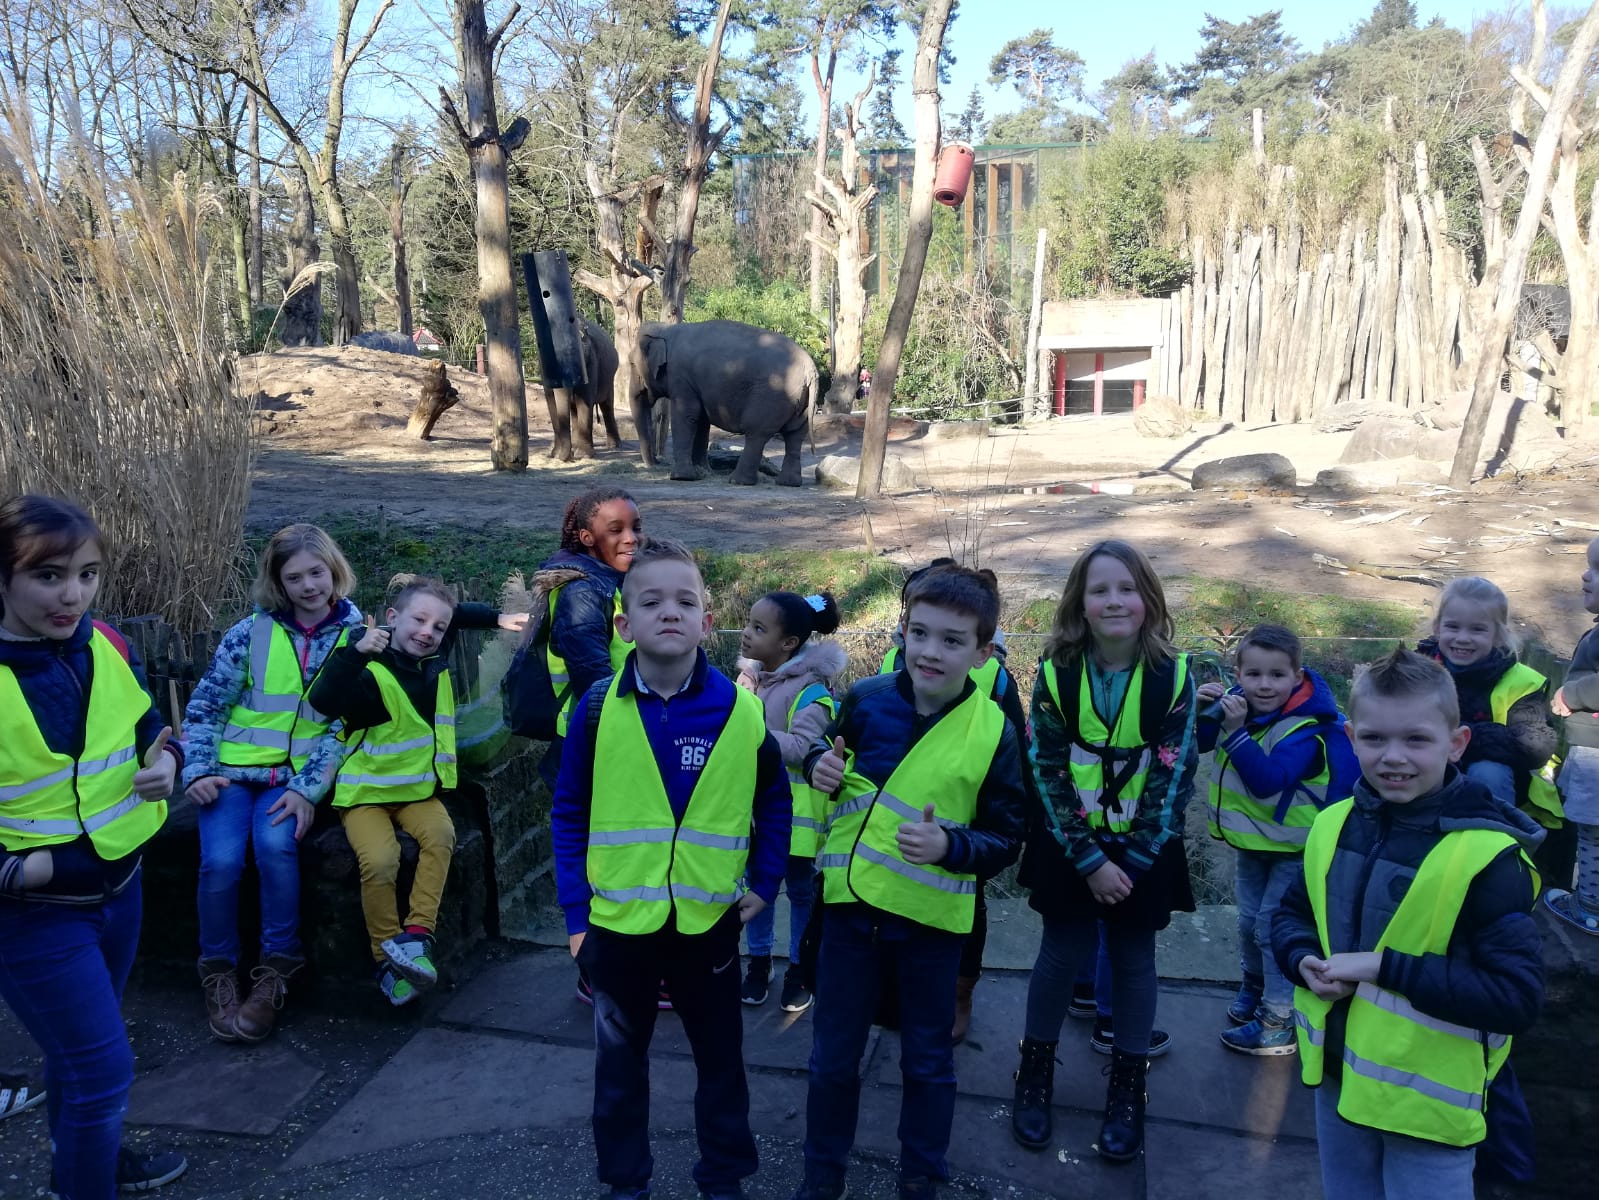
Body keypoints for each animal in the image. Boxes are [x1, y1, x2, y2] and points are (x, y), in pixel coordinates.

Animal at [550, 316, 623, 464]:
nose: (570, 459)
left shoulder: (591, 362)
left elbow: (584, 401)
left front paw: (584, 456)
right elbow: (553, 404)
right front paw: (555, 454)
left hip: (609, 379)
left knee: (607, 407)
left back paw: (614, 446)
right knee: (574, 411)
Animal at [633, 321, 818, 489]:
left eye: (632, 364)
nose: (655, 463)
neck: (666, 328)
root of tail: (810, 370)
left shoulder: (681, 377)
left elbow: (686, 416)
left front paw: (682, 477)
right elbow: (702, 422)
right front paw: (703, 472)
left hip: (772, 396)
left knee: (757, 434)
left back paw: (737, 481)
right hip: (801, 402)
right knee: (794, 436)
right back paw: (788, 483)